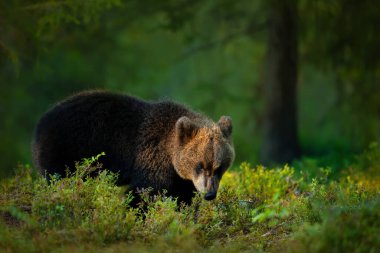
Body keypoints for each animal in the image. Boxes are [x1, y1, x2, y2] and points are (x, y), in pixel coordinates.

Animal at [32, 90, 235, 205]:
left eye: (219, 167)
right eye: (200, 165)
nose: (210, 194)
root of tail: (41, 122)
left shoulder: (181, 178)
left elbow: (183, 196)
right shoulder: (150, 157)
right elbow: (144, 193)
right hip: (67, 147)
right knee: (58, 177)